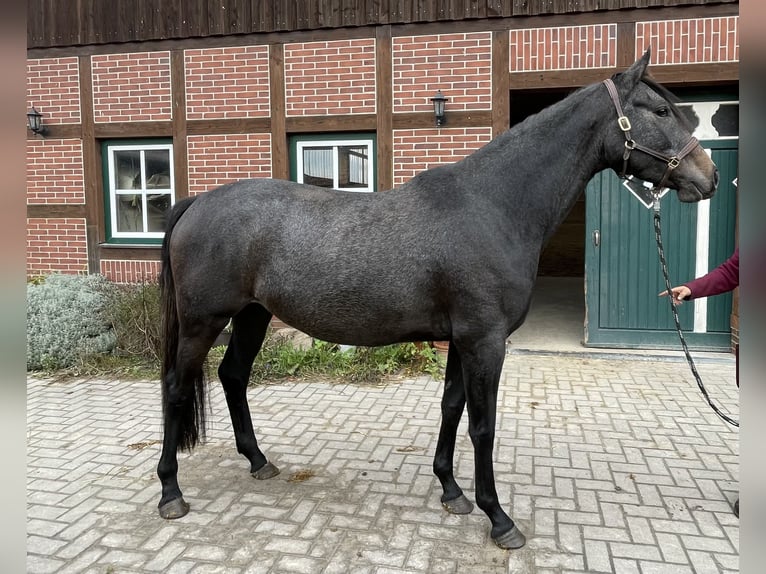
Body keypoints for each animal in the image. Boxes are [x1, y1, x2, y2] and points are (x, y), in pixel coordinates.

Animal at [154, 50, 720, 552]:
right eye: (660, 110)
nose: (709, 176)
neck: (493, 206)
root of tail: (197, 202)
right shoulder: (485, 341)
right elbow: (483, 426)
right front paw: (499, 519)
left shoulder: (461, 339)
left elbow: (451, 407)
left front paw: (452, 491)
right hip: (204, 321)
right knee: (177, 388)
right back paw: (170, 492)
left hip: (253, 315)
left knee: (232, 376)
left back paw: (258, 461)